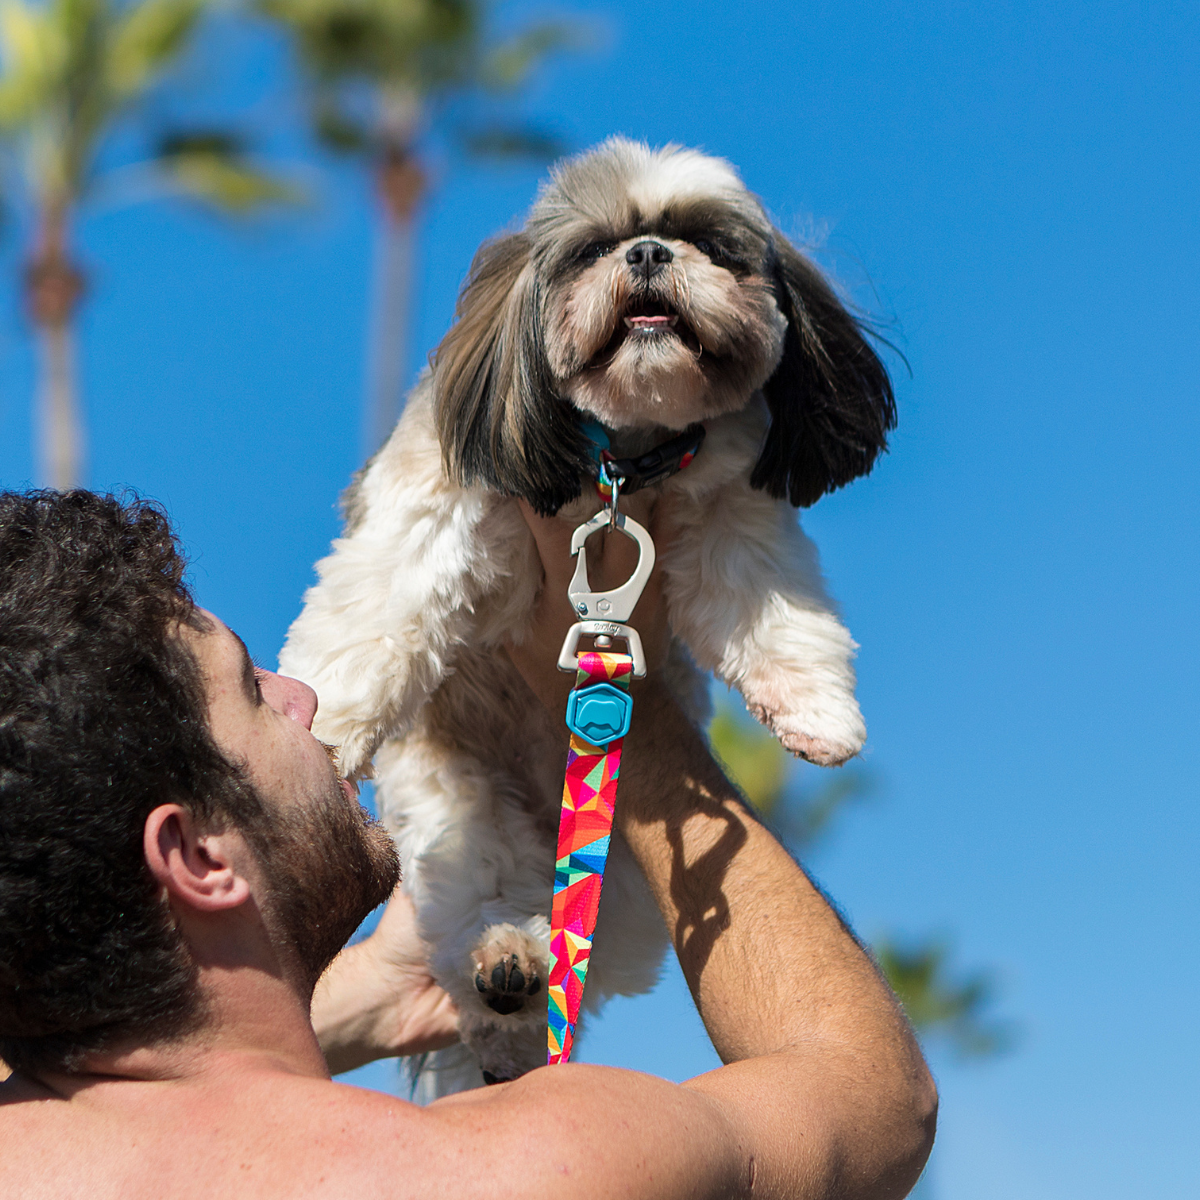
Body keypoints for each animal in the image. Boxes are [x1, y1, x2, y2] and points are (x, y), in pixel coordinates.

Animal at [280, 136, 897, 1094]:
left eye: (708, 244)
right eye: (593, 249)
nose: (646, 253)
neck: (623, 459)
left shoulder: (734, 513)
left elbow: (767, 603)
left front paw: (818, 710)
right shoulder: (436, 500)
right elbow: (375, 611)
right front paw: (322, 729)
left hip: (633, 886)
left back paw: (518, 992)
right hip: (454, 816)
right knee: (479, 910)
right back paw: (504, 965)